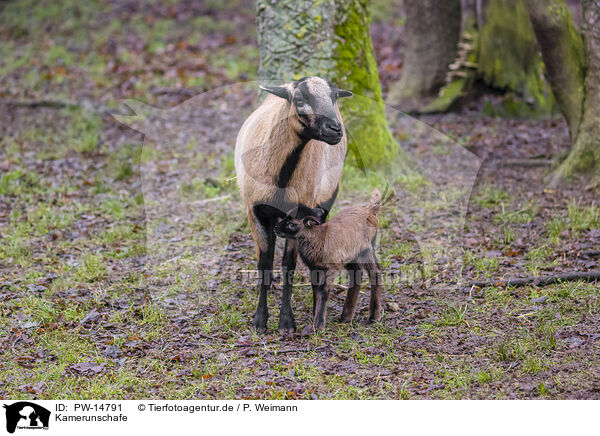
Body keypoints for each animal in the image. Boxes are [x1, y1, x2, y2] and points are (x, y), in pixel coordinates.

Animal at [236, 76, 352, 332]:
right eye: (299, 99)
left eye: (334, 97)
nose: (336, 129)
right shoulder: (254, 212)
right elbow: (265, 264)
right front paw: (259, 321)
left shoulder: (299, 214)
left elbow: (288, 266)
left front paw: (286, 322)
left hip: (325, 201)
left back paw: (316, 307)